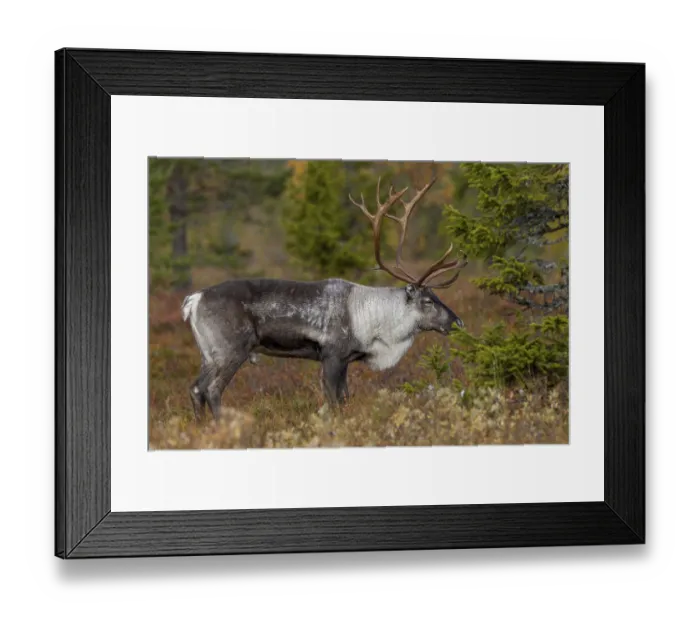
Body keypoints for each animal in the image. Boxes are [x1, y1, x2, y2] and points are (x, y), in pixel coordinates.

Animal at [181, 177, 468, 421]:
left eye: (436, 295)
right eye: (427, 301)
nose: (458, 322)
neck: (372, 322)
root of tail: (193, 300)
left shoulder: (345, 360)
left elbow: (345, 398)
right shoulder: (332, 355)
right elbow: (334, 401)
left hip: (208, 354)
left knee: (196, 389)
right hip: (230, 350)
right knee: (212, 390)